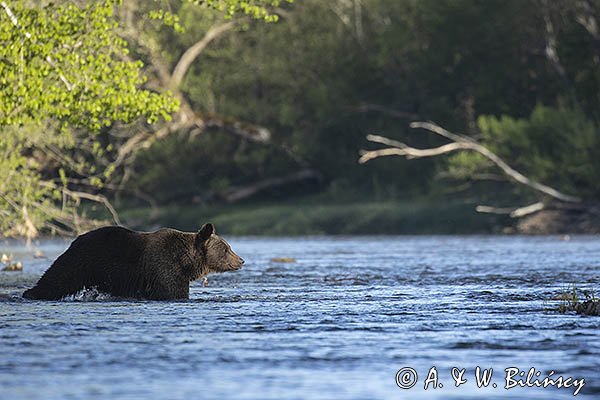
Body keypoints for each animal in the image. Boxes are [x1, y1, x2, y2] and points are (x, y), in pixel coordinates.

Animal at [22, 223, 244, 298]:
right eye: (226, 248)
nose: (241, 260)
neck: (185, 261)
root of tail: (76, 238)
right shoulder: (164, 267)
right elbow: (172, 292)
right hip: (83, 258)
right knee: (59, 275)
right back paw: (31, 292)